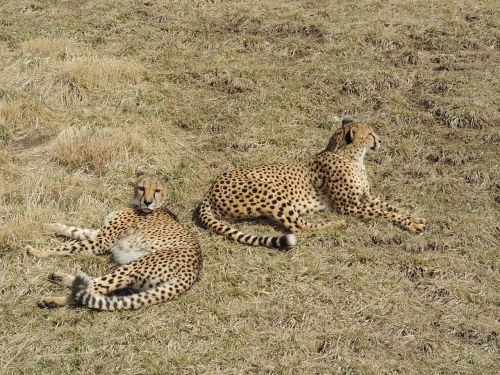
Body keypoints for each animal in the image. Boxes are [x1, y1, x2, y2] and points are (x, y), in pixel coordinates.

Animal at [26, 173, 202, 312]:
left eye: (157, 190)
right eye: (141, 188)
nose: (148, 202)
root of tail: (194, 271)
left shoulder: (102, 240)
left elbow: (68, 246)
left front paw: (38, 251)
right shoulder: (101, 234)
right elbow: (75, 230)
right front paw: (48, 227)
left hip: (134, 266)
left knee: (90, 291)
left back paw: (53, 300)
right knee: (93, 283)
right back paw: (61, 277)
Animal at [198, 119, 426, 250]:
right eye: (370, 134)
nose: (381, 141)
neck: (352, 157)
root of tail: (210, 190)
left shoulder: (365, 197)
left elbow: (392, 207)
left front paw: (414, 218)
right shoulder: (349, 206)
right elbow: (384, 213)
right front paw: (411, 224)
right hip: (269, 193)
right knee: (298, 227)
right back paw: (337, 224)